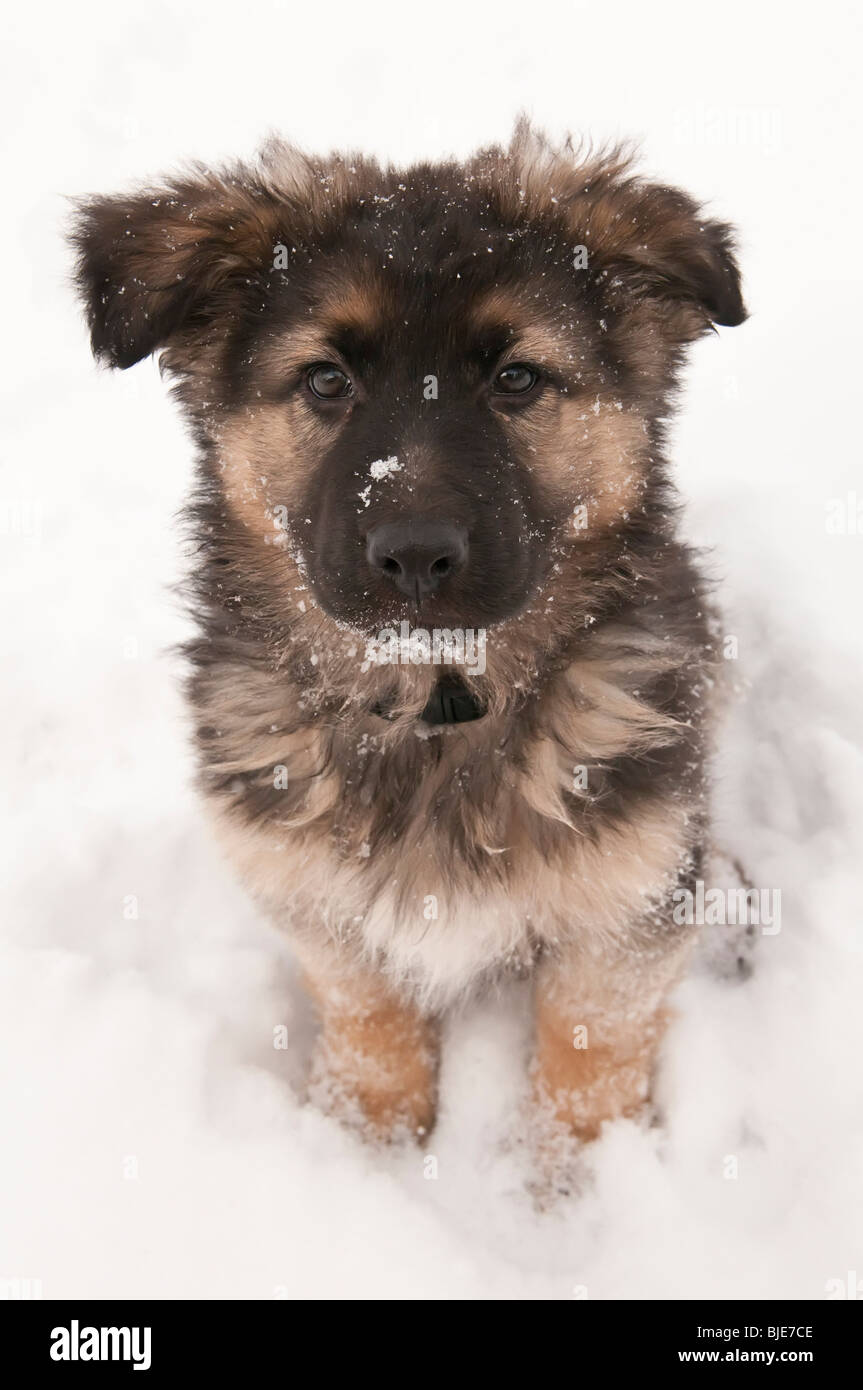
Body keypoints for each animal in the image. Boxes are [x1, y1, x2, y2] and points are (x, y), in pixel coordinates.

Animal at [70, 127, 744, 1150]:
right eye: (325, 380)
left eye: (516, 378)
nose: (416, 556)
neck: (435, 712)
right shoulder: (310, 894)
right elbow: (368, 1014)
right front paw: (364, 1137)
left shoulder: (623, 902)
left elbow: (589, 1044)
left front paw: (573, 1174)